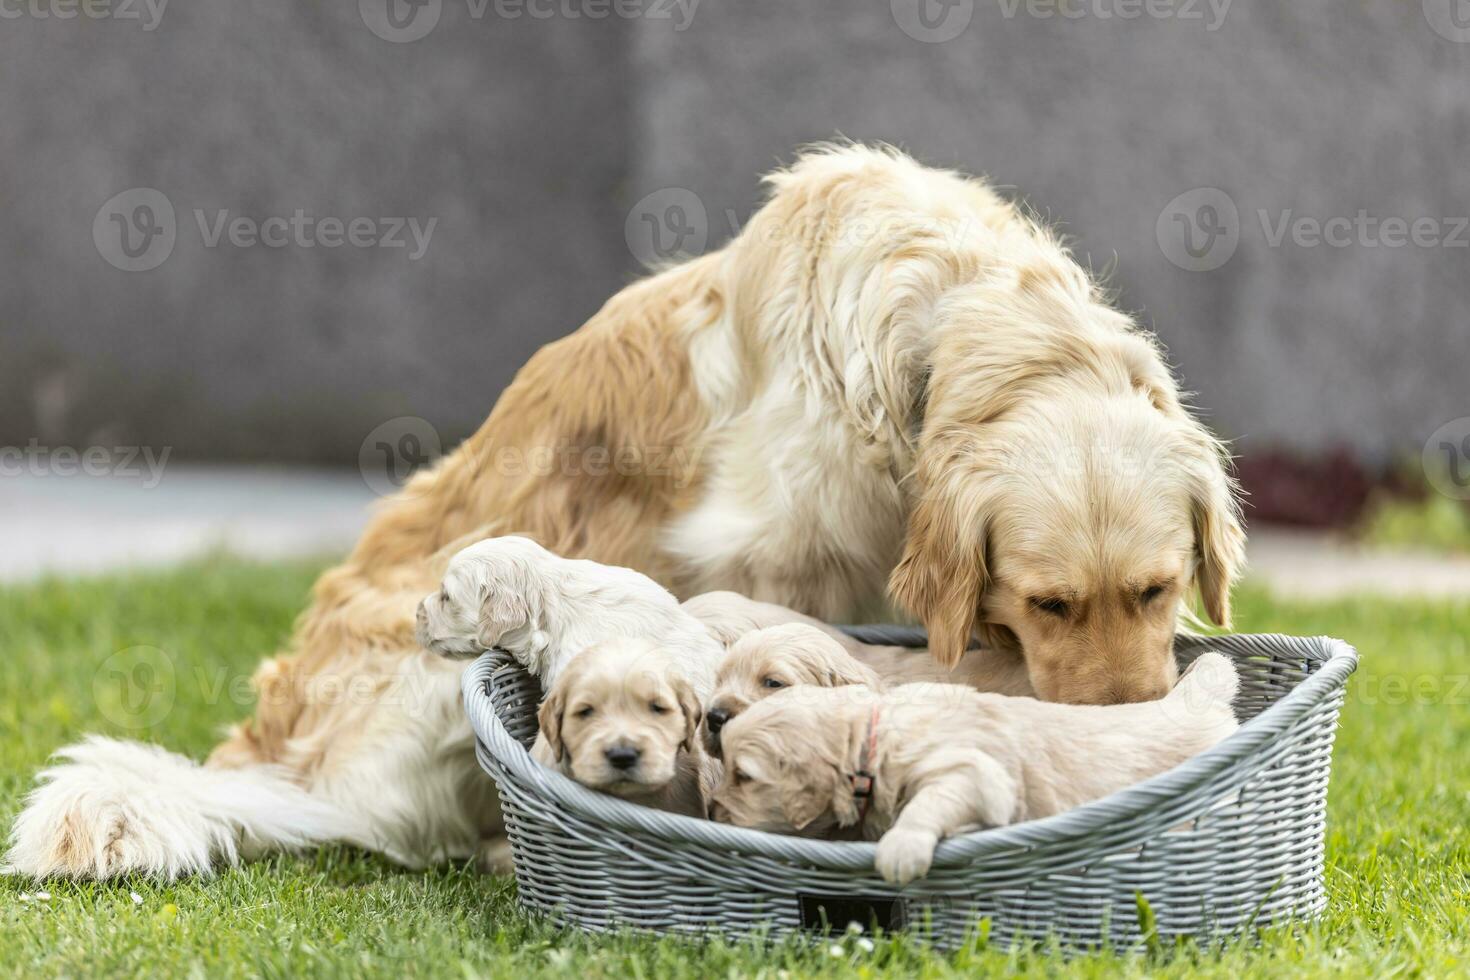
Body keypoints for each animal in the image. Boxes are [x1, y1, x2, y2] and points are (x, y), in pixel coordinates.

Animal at [711, 652, 1240, 887]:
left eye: (745, 777)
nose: (713, 813)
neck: (871, 738)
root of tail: (1193, 701)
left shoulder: (974, 772)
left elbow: (928, 802)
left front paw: (900, 849)